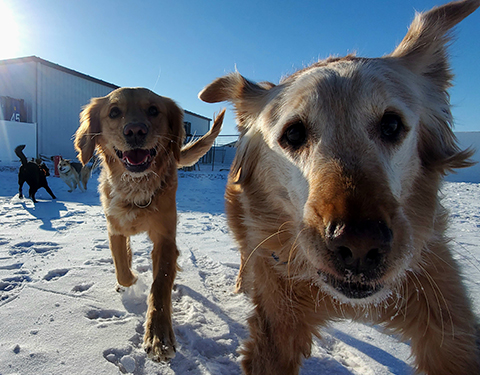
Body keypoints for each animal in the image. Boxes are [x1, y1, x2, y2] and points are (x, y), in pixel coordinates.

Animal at [74, 87, 224, 362]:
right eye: (114, 112)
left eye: (154, 110)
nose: (135, 131)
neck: (137, 189)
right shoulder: (115, 229)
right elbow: (122, 269)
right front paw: (131, 279)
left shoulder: (165, 238)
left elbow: (160, 284)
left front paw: (158, 336)